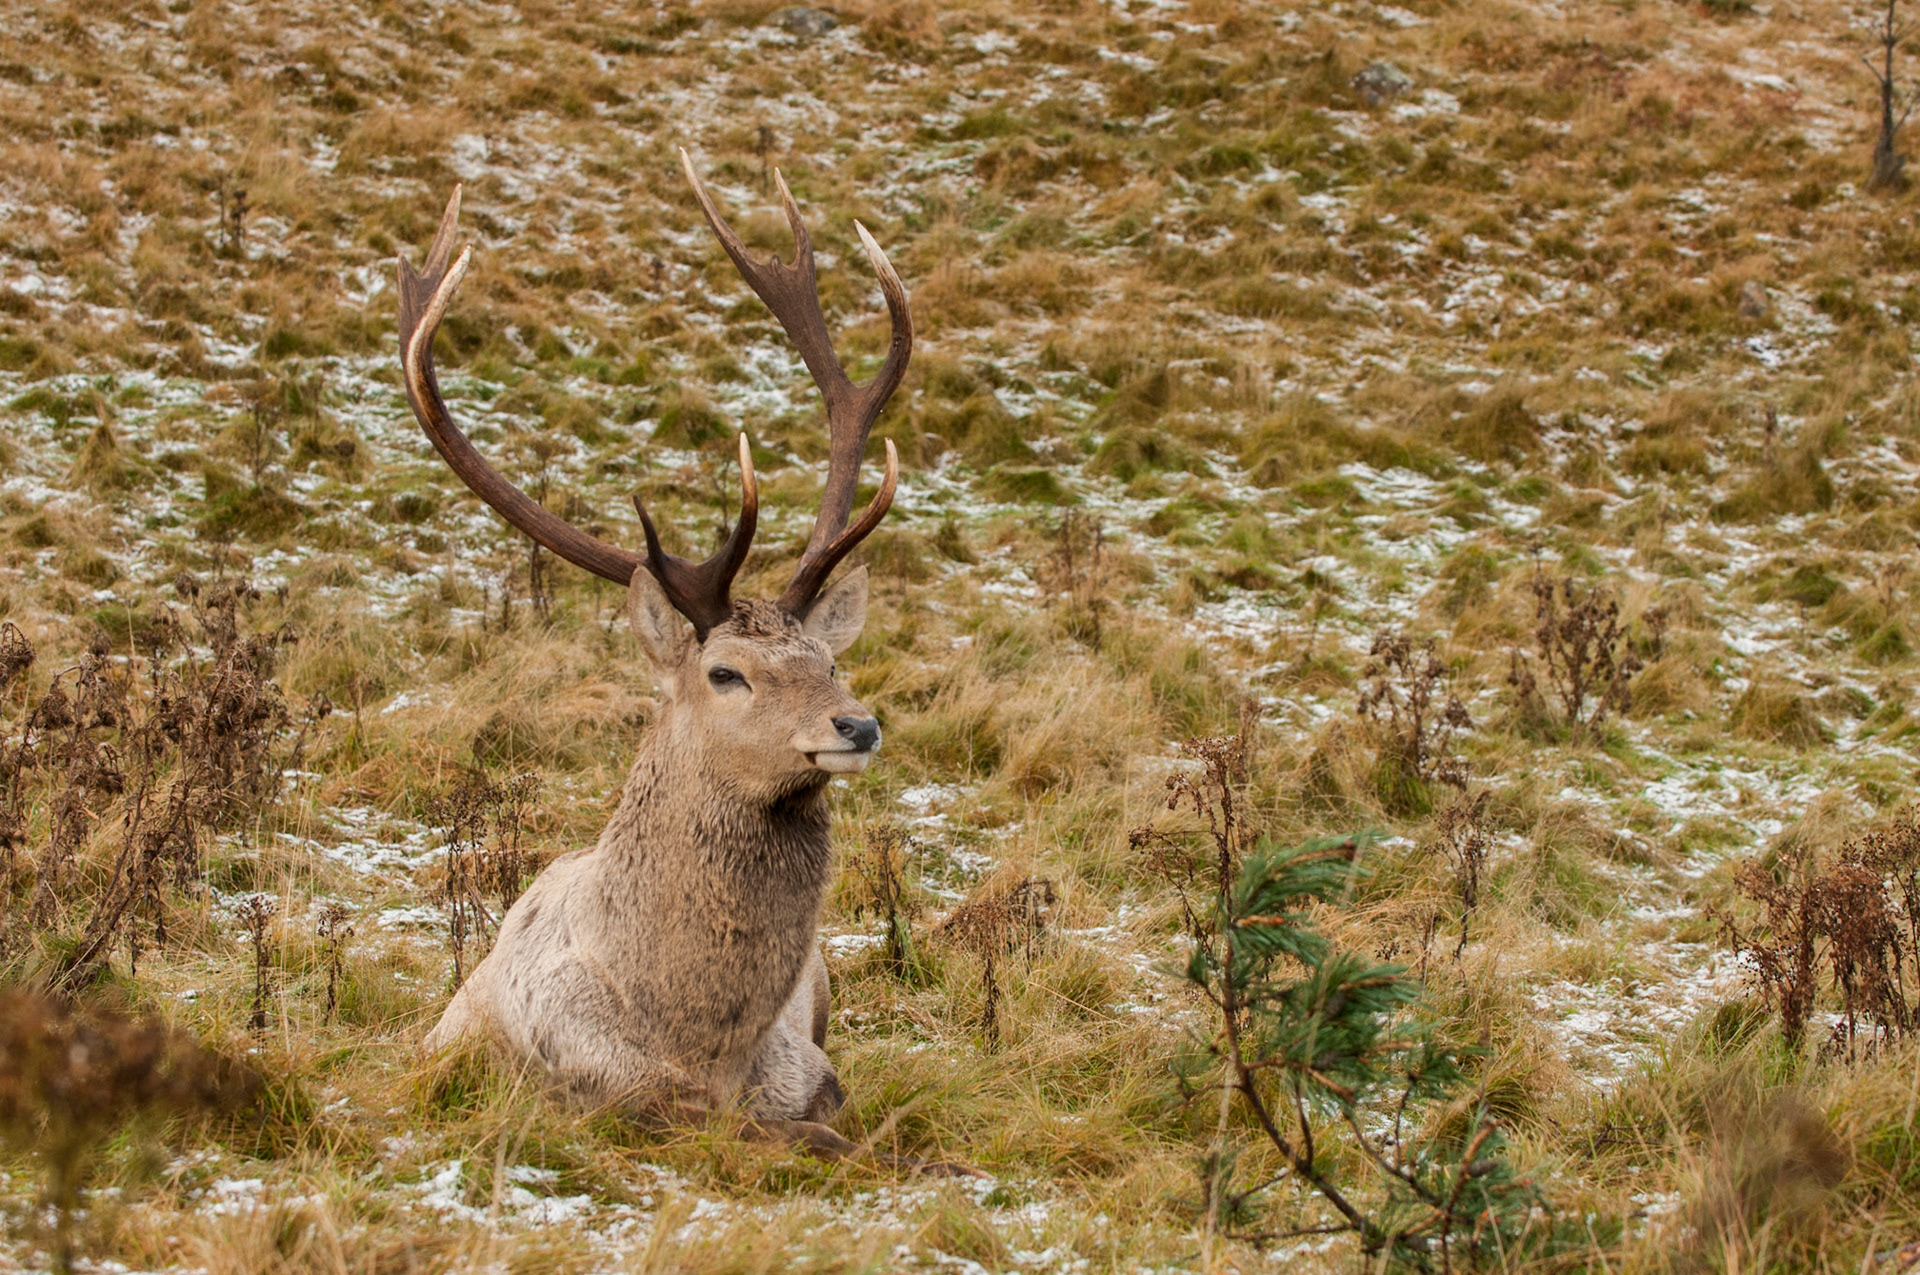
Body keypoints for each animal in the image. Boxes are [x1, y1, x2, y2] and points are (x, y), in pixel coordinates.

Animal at [396, 152, 953, 1170]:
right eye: (727, 671)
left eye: (830, 659)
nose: (856, 725)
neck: (699, 1041)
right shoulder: (599, 1091)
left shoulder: (812, 1068)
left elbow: (841, 1121)